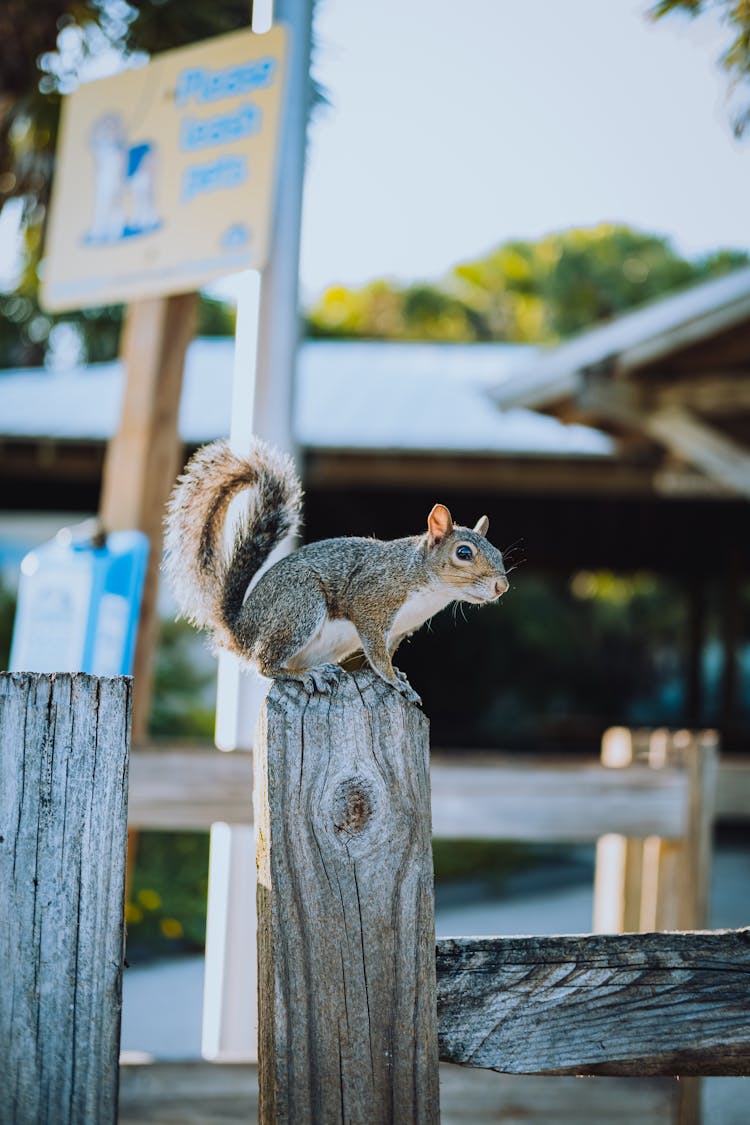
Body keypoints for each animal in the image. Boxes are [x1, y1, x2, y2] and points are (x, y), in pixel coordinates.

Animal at [163, 436, 510, 702]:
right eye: (463, 552)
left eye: (498, 554)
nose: (501, 587)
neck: (427, 587)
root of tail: (240, 631)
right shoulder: (370, 603)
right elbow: (377, 654)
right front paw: (394, 681)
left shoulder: (400, 630)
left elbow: (386, 654)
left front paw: (398, 673)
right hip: (299, 604)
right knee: (266, 664)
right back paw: (306, 675)